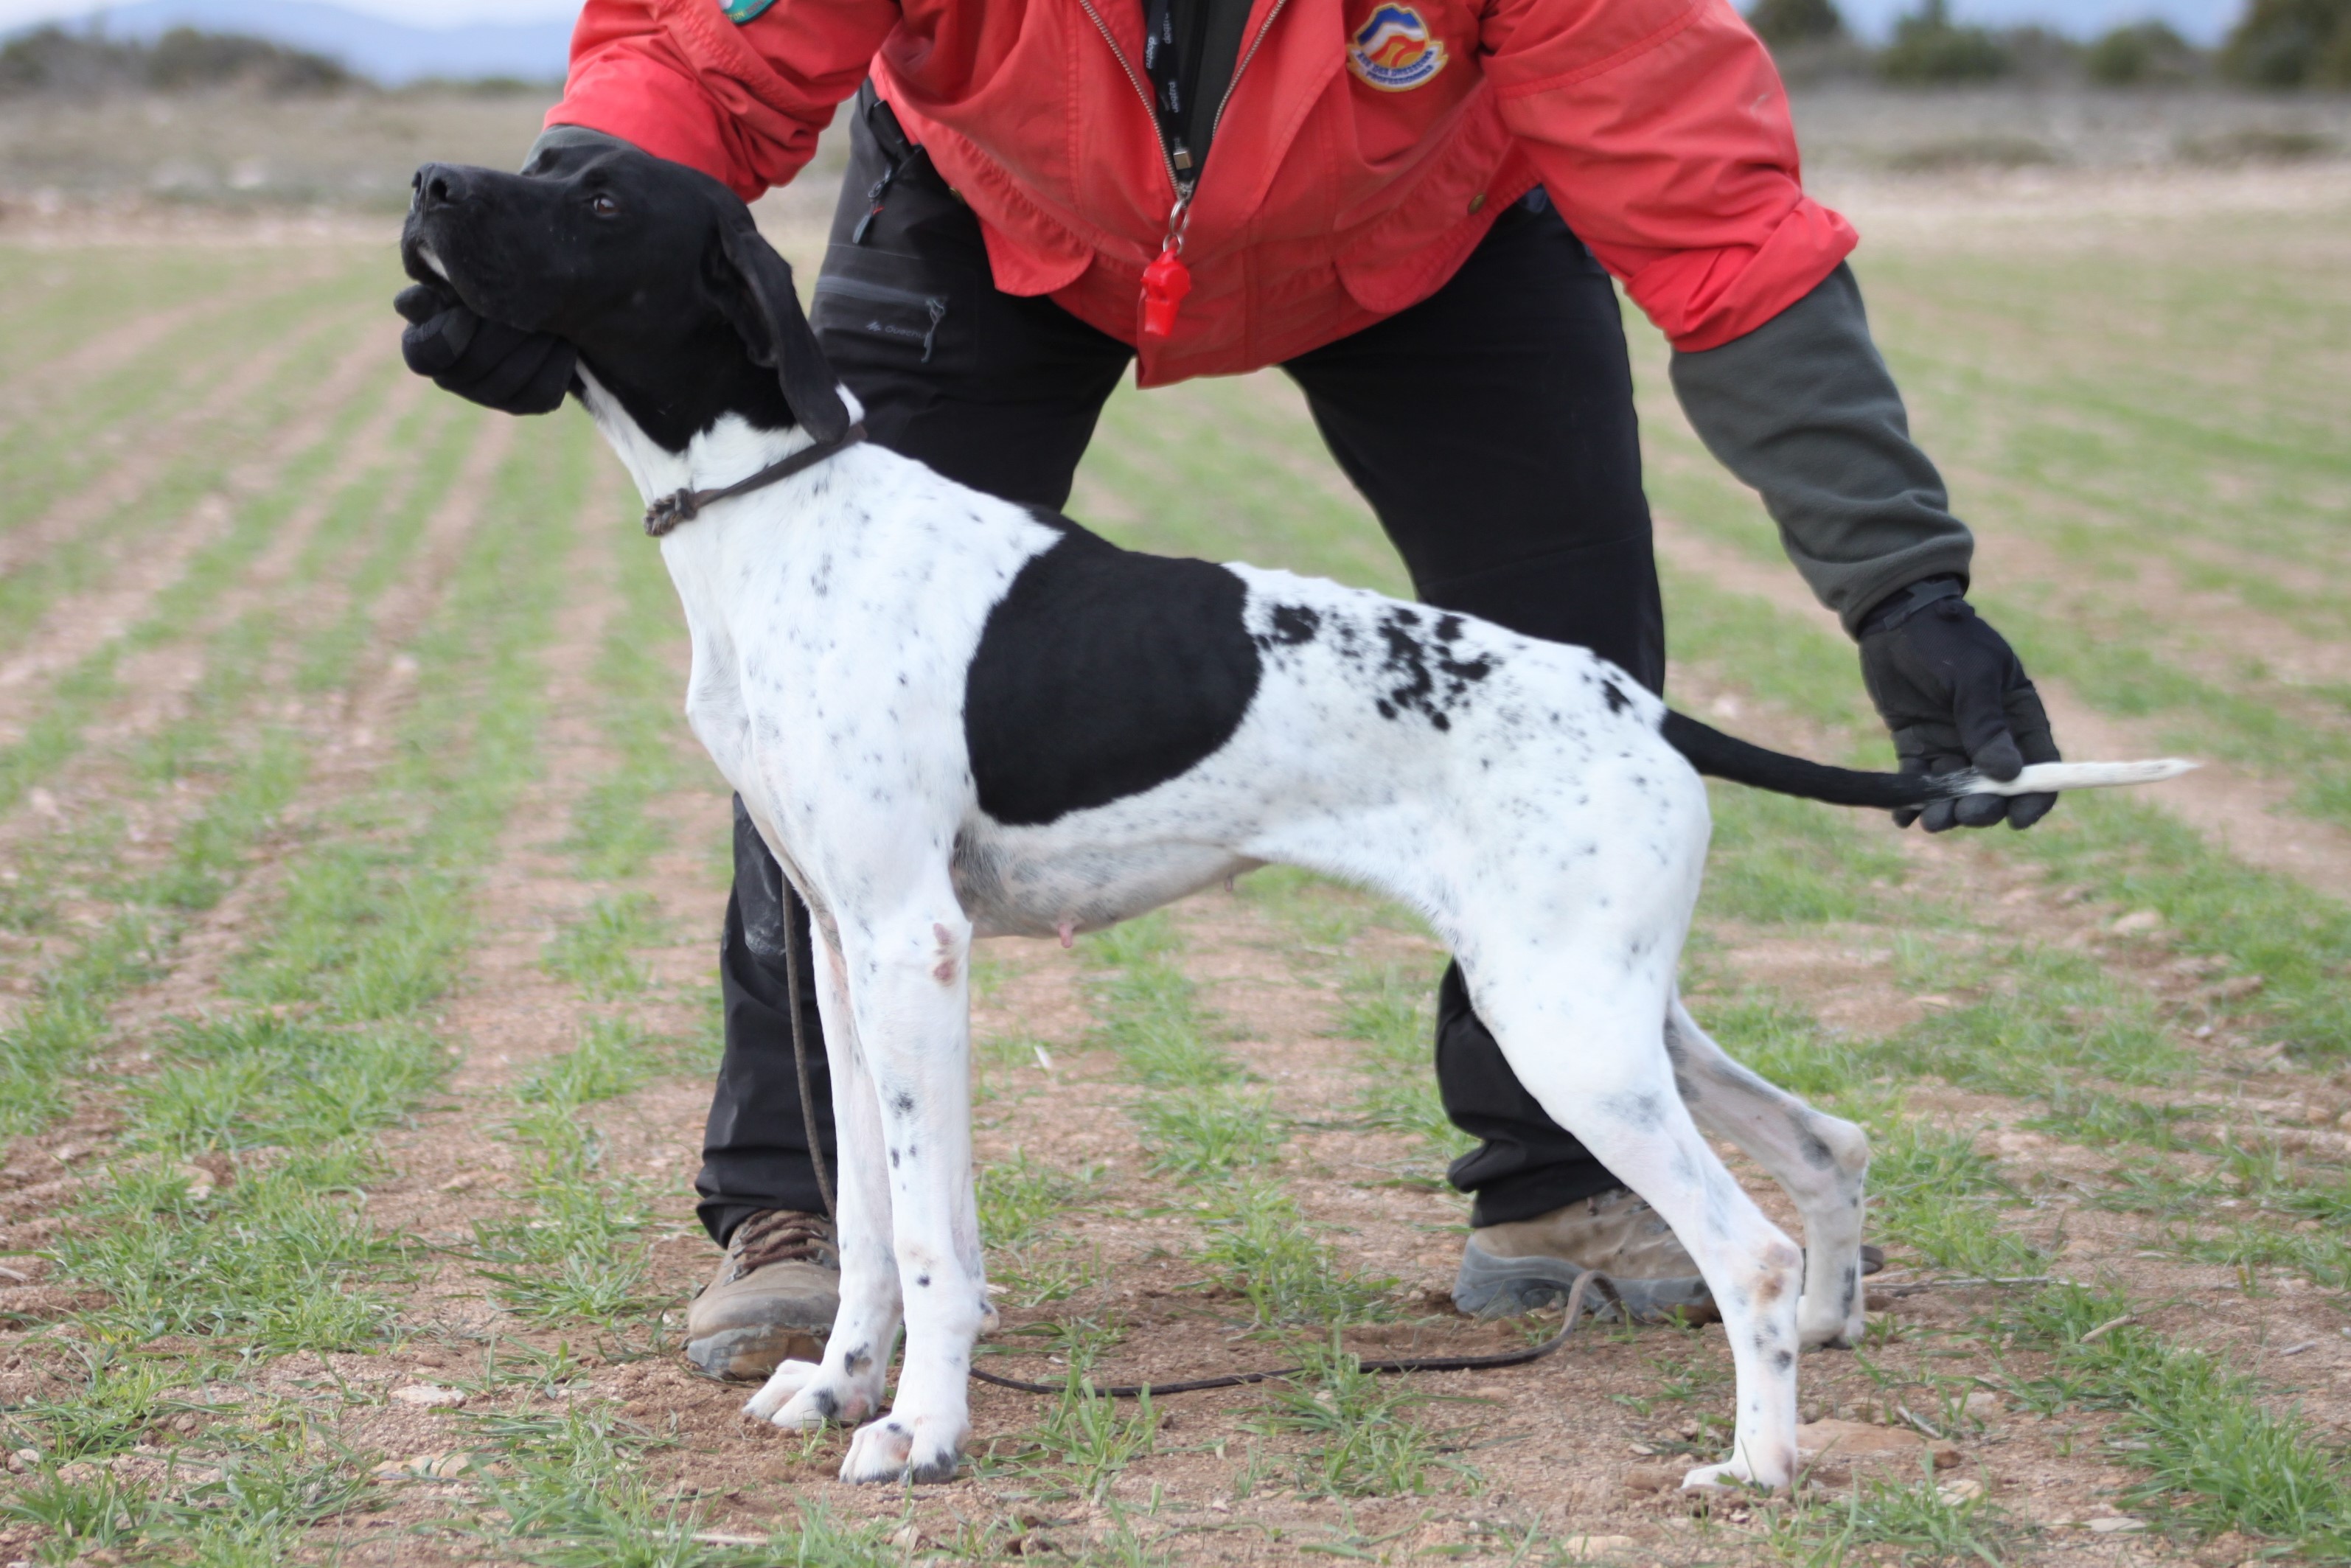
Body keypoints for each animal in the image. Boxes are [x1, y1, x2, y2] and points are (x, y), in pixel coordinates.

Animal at [404, 144, 2181, 1495]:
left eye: (600, 198)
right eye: (553, 167)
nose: (429, 184)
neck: (787, 513)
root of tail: (1630, 699)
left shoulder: (915, 947)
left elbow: (928, 1246)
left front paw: (922, 1430)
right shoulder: (844, 953)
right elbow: (866, 1231)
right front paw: (843, 1384)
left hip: (1562, 1027)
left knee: (1737, 1238)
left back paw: (1753, 1463)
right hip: (1609, 1006)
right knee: (1825, 1143)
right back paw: (1822, 1333)